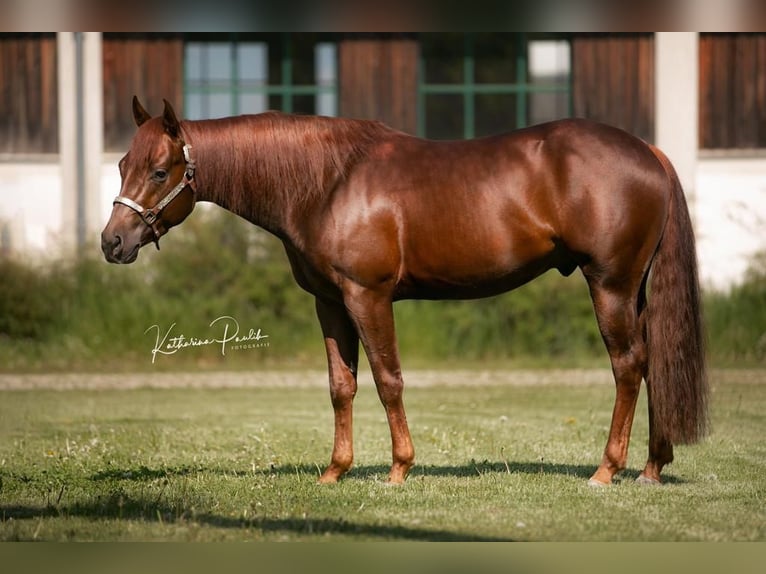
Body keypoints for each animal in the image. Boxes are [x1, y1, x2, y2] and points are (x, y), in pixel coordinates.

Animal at [101, 97, 708, 487]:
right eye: (123, 163)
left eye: (160, 172)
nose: (113, 242)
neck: (329, 181)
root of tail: (649, 151)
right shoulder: (329, 303)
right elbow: (341, 386)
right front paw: (334, 472)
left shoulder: (367, 297)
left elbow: (388, 380)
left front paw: (398, 468)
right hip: (633, 291)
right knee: (652, 361)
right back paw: (652, 467)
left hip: (610, 285)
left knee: (628, 365)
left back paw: (607, 470)